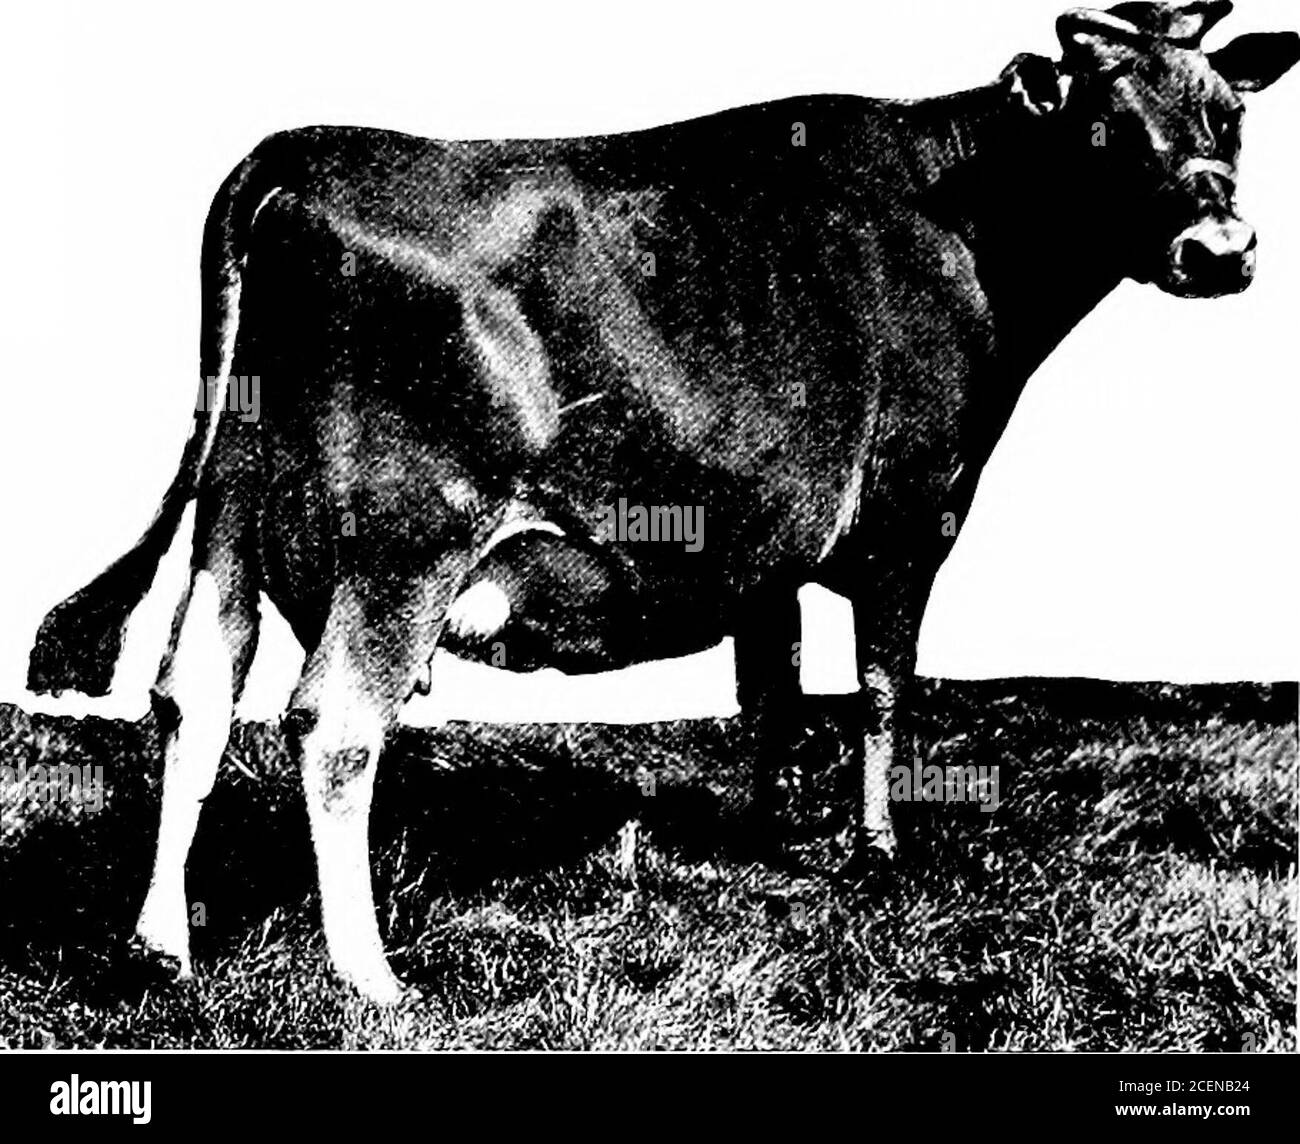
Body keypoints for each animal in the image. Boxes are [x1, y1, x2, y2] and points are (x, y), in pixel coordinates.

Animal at [26, 1, 1298, 1002]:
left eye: (1226, 119)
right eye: (1106, 127)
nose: (1220, 245)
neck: (961, 217)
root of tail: (308, 148)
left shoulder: (762, 540)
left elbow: (771, 688)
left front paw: (764, 837)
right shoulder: (911, 518)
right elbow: (882, 690)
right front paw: (876, 849)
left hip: (231, 503)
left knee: (192, 694)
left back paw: (160, 947)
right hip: (405, 537)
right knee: (333, 725)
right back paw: (369, 975)